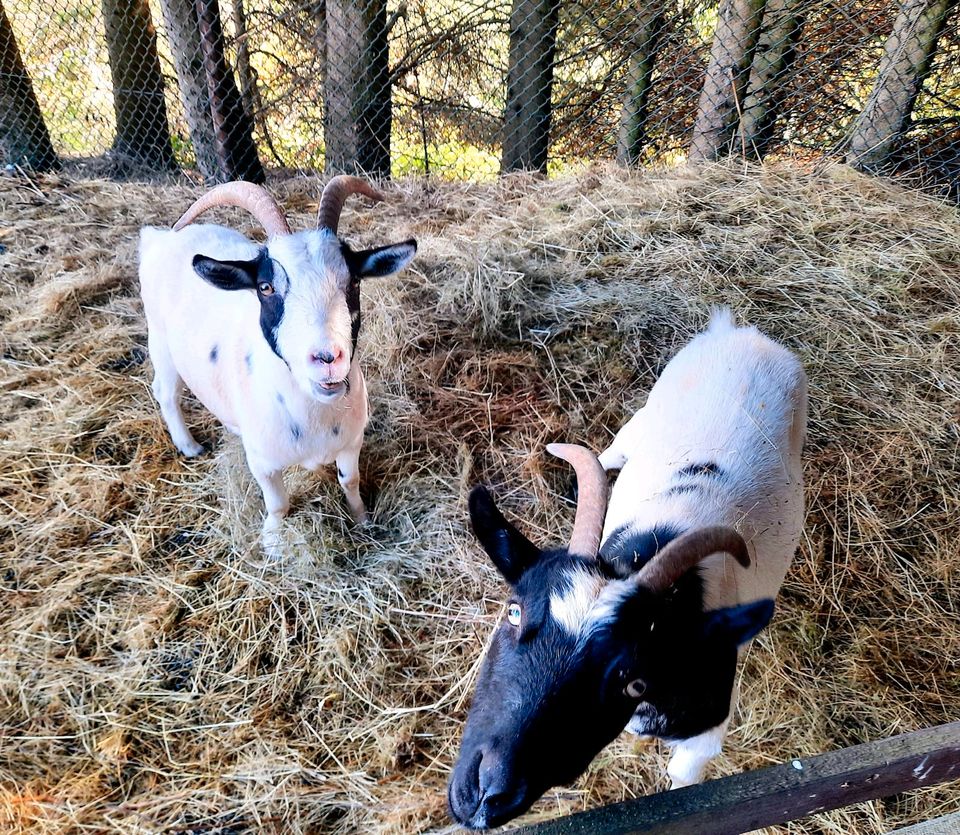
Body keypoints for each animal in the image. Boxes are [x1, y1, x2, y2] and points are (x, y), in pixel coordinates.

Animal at [140, 180, 416, 552]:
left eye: (354, 282)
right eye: (266, 287)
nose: (327, 359)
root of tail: (158, 238)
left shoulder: (351, 442)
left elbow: (350, 481)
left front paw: (362, 520)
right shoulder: (264, 463)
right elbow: (278, 503)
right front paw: (272, 543)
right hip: (160, 341)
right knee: (166, 393)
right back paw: (189, 446)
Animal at [446, 312, 808, 828]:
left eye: (627, 678)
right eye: (513, 612)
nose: (482, 793)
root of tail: (742, 334)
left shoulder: (704, 728)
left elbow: (684, 776)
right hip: (642, 419)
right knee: (612, 453)